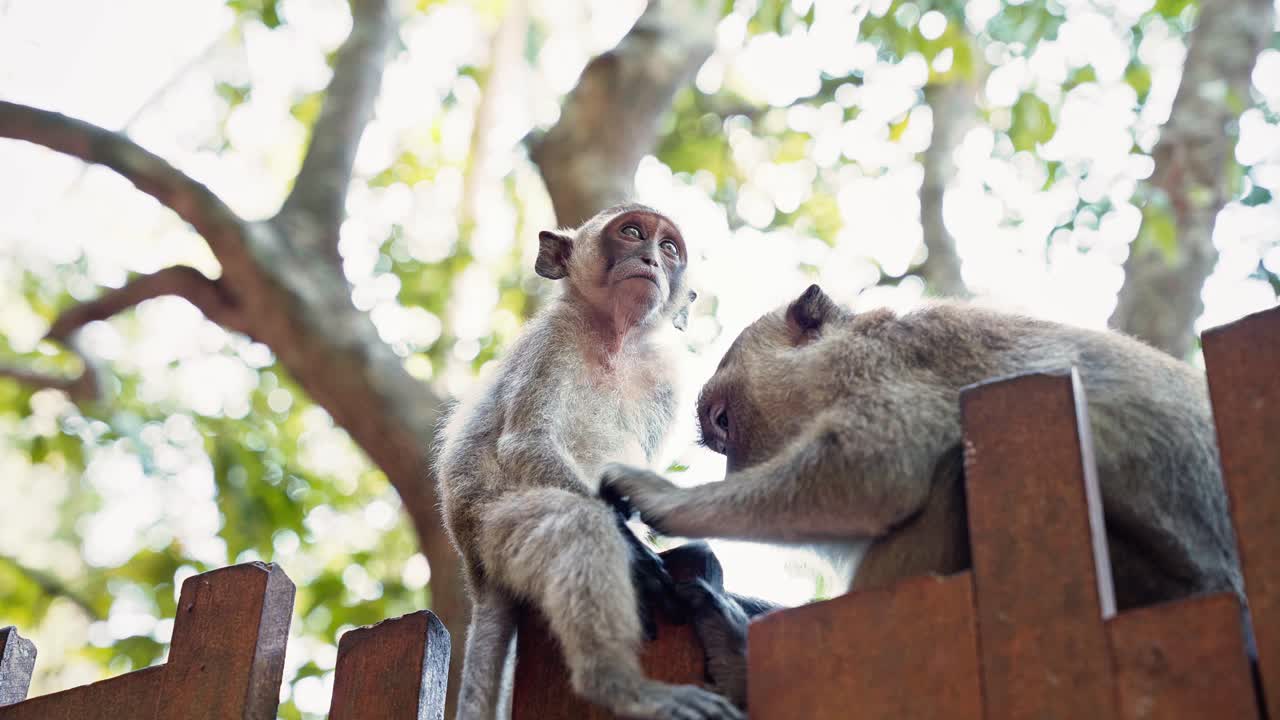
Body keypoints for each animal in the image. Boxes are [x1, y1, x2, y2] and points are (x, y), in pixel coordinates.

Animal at [434, 203, 743, 720]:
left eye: (668, 247)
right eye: (633, 232)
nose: (650, 259)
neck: (614, 338)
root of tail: (474, 568)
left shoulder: (665, 378)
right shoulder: (552, 339)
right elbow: (526, 444)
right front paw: (637, 554)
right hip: (497, 531)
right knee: (577, 523)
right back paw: (619, 684)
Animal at [602, 284, 1245, 703]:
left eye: (725, 425)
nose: (735, 470)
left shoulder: (881, 365)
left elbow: (879, 465)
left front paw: (662, 500)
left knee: (950, 475)